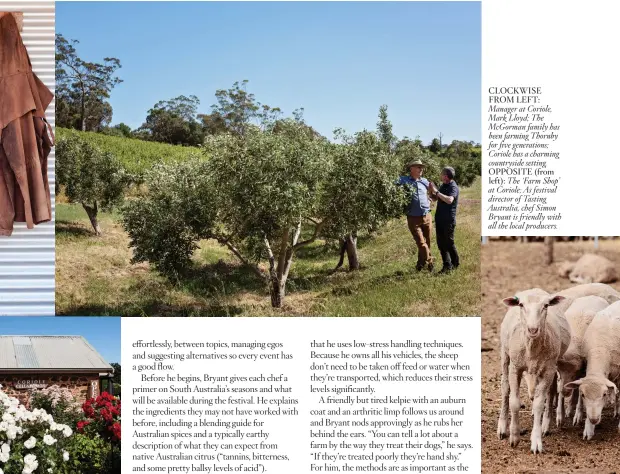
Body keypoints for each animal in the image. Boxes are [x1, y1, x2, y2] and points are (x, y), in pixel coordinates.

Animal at [496, 286, 572, 454]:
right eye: (521, 305)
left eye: (545, 306)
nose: (532, 329)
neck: (531, 348)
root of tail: (534, 288)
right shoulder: (515, 368)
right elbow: (514, 402)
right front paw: (514, 437)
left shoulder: (548, 370)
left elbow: (538, 404)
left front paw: (536, 442)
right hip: (505, 354)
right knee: (505, 388)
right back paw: (502, 427)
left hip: (551, 365)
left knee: (551, 391)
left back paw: (545, 425)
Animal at [556, 296, 608, 426]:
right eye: (558, 371)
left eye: (574, 372)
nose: (565, 392)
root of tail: (594, 296)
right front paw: (560, 417)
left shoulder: (584, 370)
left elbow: (580, 391)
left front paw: (577, 417)